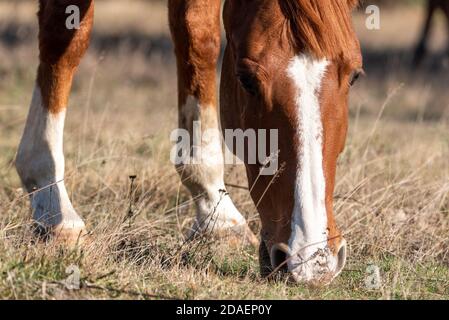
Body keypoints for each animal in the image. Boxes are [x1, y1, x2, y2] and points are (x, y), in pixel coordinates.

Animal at [15, 0, 362, 284]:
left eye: (355, 75)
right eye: (246, 79)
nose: (311, 261)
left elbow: (198, 36)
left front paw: (216, 217)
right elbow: (64, 36)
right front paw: (54, 209)